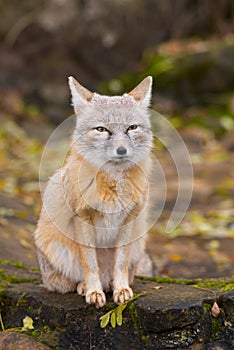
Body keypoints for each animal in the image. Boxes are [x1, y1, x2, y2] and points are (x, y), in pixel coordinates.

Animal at [34, 75, 154, 308]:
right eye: (102, 129)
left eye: (132, 128)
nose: (122, 150)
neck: (114, 183)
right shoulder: (83, 218)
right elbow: (90, 263)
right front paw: (93, 291)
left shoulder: (128, 219)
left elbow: (120, 263)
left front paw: (120, 289)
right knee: (70, 281)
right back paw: (84, 286)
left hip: (138, 241)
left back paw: (111, 285)